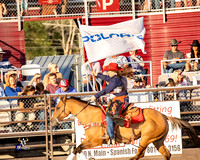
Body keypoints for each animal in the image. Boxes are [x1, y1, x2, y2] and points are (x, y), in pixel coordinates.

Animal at [51, 96, 200, 160]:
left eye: (58, 107)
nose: (52, 121)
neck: (91, 115)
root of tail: (164, 116)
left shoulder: (95, 141)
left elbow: (77, 149)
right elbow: (78, 149)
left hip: (146, 139)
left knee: (140, 154)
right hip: (158, 140)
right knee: (166, 154)